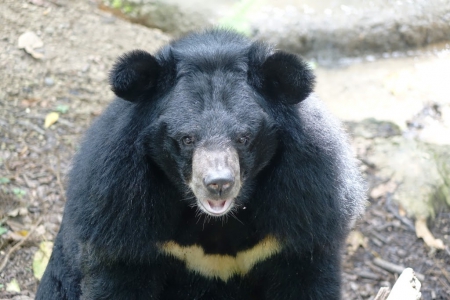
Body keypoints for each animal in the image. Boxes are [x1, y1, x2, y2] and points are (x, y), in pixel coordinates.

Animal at [35, 28, 366, 300]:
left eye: (244, 137)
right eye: (186, 139)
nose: (218, 183)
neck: (215, 223)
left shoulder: (307, 208)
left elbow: (306, 279)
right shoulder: (120, 213)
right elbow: (117, 280)